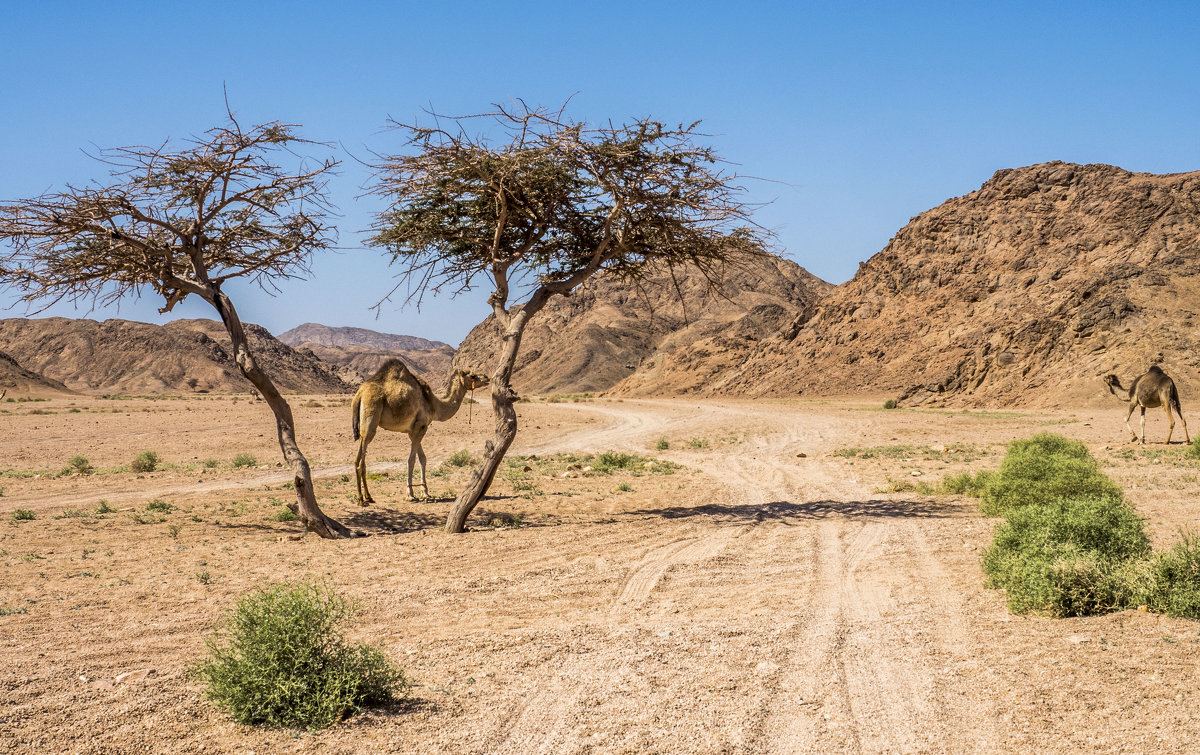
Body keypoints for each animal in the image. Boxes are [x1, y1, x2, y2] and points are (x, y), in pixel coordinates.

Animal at [350, 360, 487, 504]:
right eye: (472, 375)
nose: (487, 378)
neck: (433, 404)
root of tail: (359, 394)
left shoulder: (414, 430)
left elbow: (423, 458)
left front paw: (425, 492)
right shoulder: (421, 426)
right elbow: (412, 460)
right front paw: (410, 494)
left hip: (363, 426)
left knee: (359, 460)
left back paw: (368, 497)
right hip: (371, 415)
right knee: (360, 460)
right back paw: (361, 499)